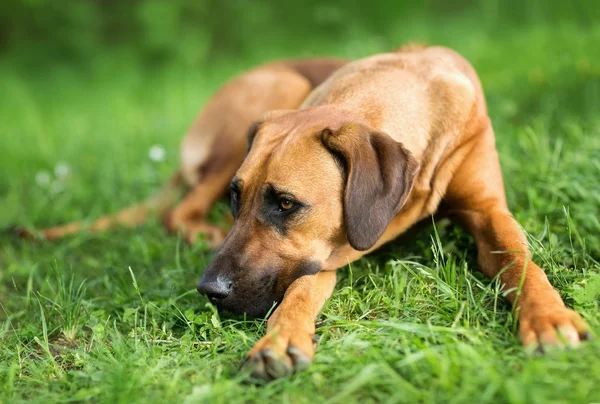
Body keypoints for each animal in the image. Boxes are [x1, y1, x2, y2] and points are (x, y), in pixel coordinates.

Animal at [21, 45, 592, 382]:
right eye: (238, 197)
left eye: (285, 204)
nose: (208, 291)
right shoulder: (323, 252)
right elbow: (299, 286)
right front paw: (280, 340)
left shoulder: (487, 208)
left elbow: (520, 258)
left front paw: (549, 318)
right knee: (179, 210)